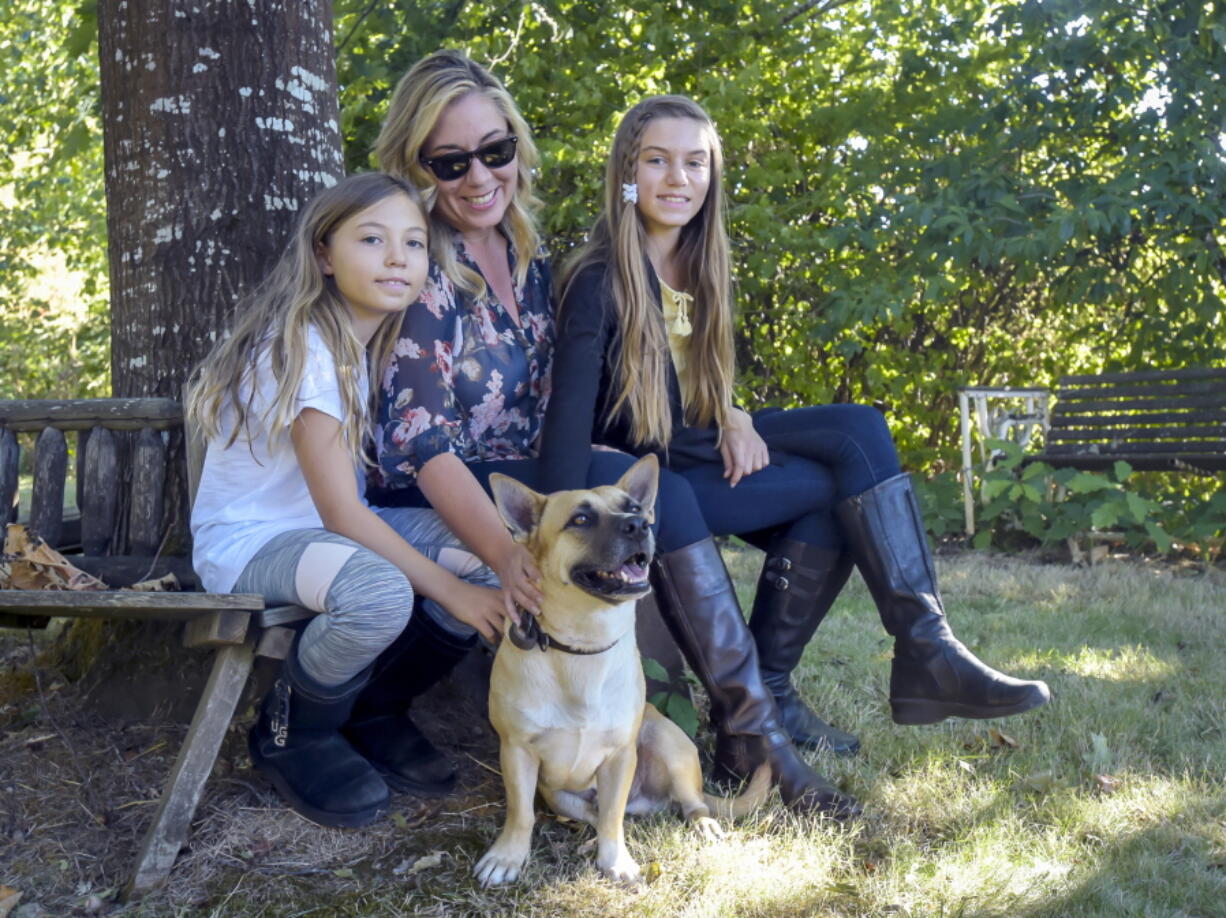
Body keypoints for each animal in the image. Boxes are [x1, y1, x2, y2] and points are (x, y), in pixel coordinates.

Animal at [470, 455, 765, 882]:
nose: (639, 524)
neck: (582, 645)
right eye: (580, 519)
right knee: (594, 814)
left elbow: (613, 816)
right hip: (559, 796)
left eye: (634, 507)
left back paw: (703, 823)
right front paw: (507, 856)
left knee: (685, 803)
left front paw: (616, 860)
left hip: (668, 742)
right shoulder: (517, 752)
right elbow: (521, 812)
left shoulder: (620, 756)